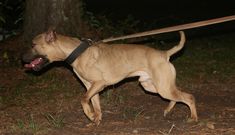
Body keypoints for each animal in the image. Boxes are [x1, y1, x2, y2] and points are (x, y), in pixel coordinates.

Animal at [22, 30, 198, 125]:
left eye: (33, 45)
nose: (21, 58)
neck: (75, 52)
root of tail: (164, 54)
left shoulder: (98, 83)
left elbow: (83, 100)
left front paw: (90, 115)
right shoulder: (91, 87)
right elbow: (95, 105)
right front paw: (95, 120)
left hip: (162, 87)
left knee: (188, 97)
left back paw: (193, 118)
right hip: (152, 86)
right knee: (177, 96)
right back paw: (168, 110)